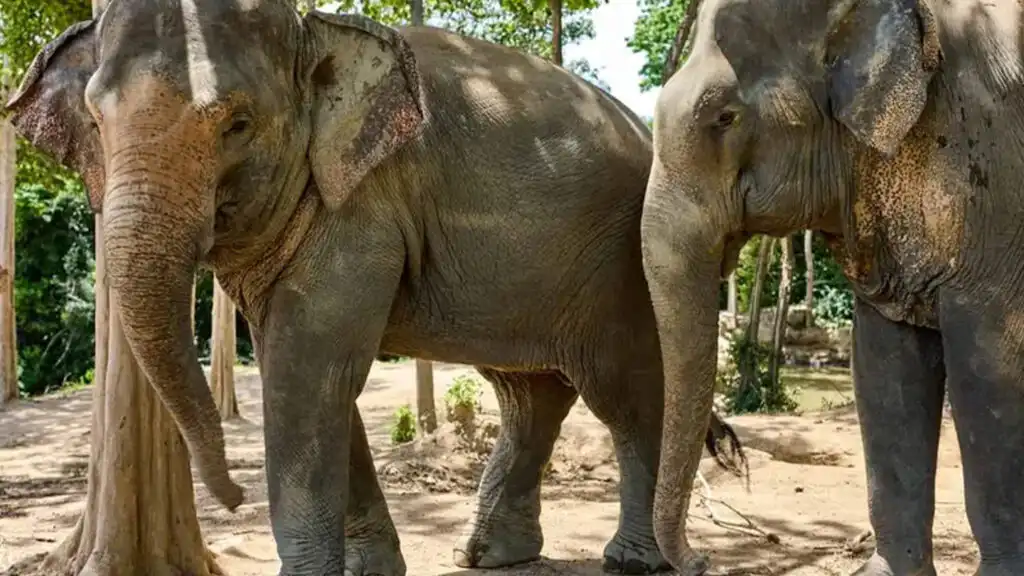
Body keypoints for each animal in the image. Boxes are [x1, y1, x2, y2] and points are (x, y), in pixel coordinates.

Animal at [5, 1, 746, 574]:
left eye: (237, 124)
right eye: (95, 123)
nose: (233, 499)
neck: (314, 27)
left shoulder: (361, 210)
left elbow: (309, 375)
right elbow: (307, 374)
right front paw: (368, 569)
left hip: (625, 263)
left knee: (624, 393)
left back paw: (634, 560)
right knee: (530, 394)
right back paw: (489, 555)